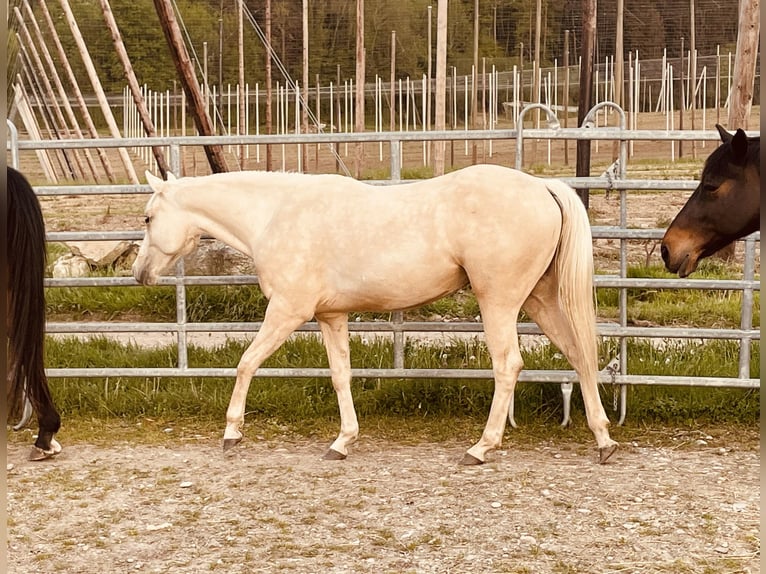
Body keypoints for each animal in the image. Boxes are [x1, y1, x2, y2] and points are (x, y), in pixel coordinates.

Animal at [134, 164, 624, 466]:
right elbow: (340, 376)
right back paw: (603, 439)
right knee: (580, 355)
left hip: (498, 302)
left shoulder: (288, 311)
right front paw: (342, 442)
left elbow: (246, 364)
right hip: (539, 300)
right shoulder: (330, 316)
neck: (275, 215)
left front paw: (232, 433)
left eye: (148, 217)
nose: (140, 274)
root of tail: (541, 186)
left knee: (509, 366)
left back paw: (481, 448)